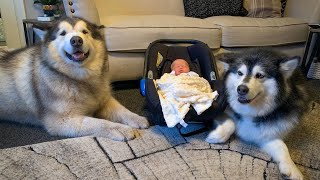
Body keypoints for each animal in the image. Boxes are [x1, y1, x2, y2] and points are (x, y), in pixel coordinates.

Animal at [0, 17, 149, 141]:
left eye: (85, 31)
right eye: (62, 33)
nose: (76, 40)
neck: (80, 79)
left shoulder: (104, 100)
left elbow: (122, 110)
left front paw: (137, 118)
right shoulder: (61, 121)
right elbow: (98, 122)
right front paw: (119, 128)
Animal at [206, 48, 308, 179]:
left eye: (260, 75)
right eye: (240, 73)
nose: (241, 89)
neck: (251, 110)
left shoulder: (266, 132)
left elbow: (281, 146)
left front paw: (292, 168)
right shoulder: (218, 109)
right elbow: (231, 123)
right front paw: (216, 136)